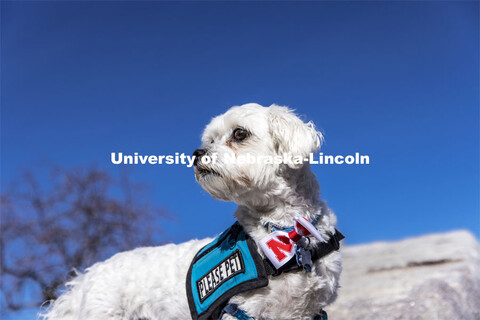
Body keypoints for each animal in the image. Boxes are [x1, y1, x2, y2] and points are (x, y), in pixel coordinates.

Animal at [40, 104, 342, 320]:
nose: (197, 153)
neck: (288, 233)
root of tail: (84, 280)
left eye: (240, 134)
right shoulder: (241, 311)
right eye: (209, 140)